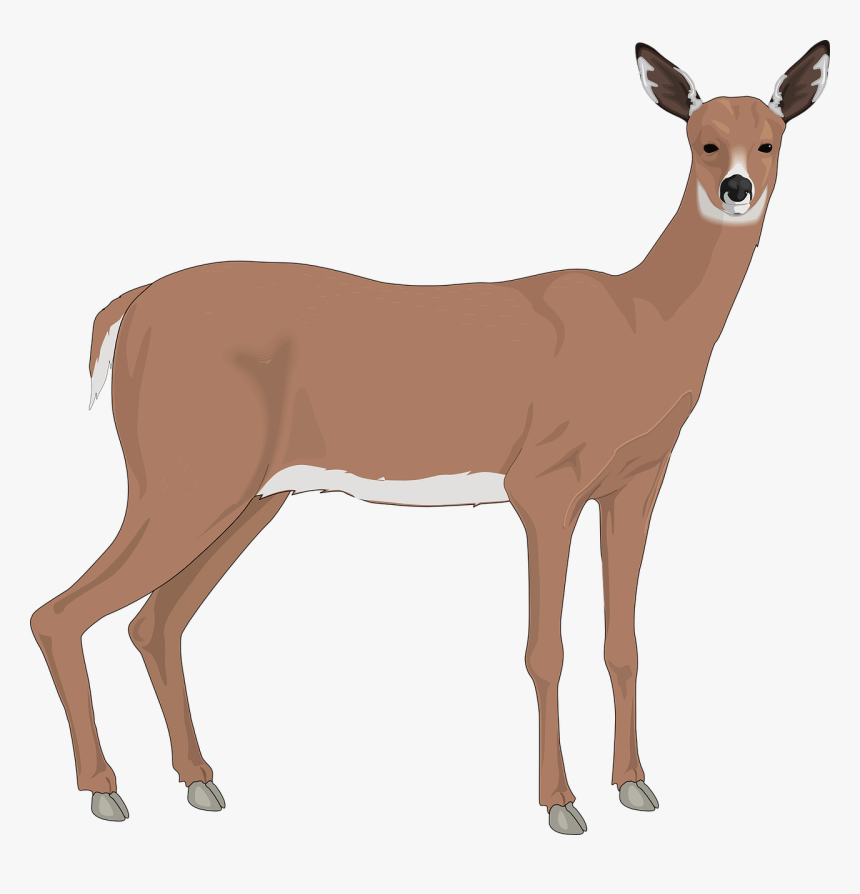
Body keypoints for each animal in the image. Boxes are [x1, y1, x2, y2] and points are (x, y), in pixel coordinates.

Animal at [31, 40, 830, 832]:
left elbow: (623, 645)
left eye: (771, 139)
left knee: (154, 623)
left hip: (250, 495)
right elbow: (545, 649)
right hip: (185, 477)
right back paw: (105, 791)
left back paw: (199, 782)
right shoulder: (545, 483)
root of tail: (128, 308)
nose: (736, 188)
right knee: (60, 613)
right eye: (703, 141)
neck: (645, 323)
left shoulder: (637, 482)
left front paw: (635, 786)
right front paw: (561, 803)